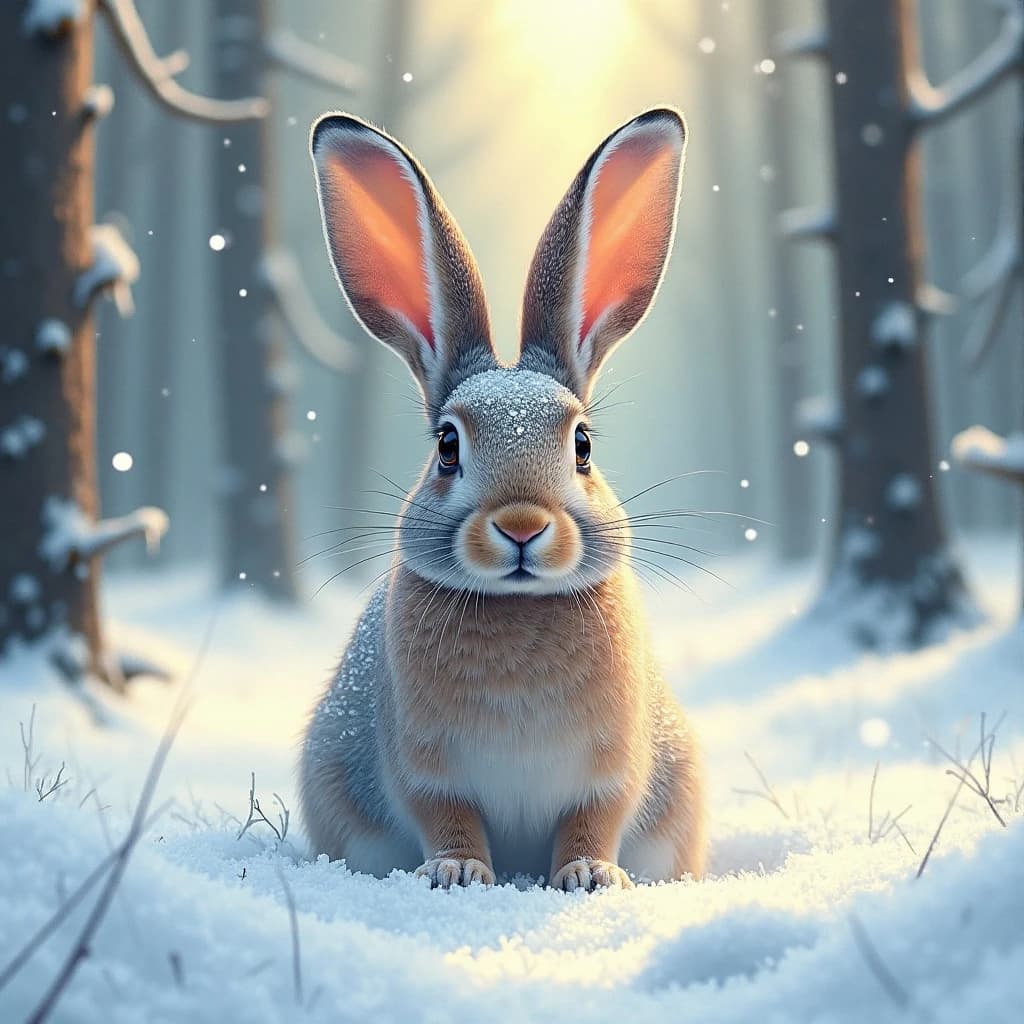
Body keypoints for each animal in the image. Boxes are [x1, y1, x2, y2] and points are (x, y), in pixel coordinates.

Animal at [300, 107, 706, 891]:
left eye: (583, 445)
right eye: (447, 446)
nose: (521, 525)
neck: (521, 607)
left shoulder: (611, 771)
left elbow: (594, 819)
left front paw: (589, 876)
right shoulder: (425, 769)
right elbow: (446, 816)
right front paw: (458, 873)